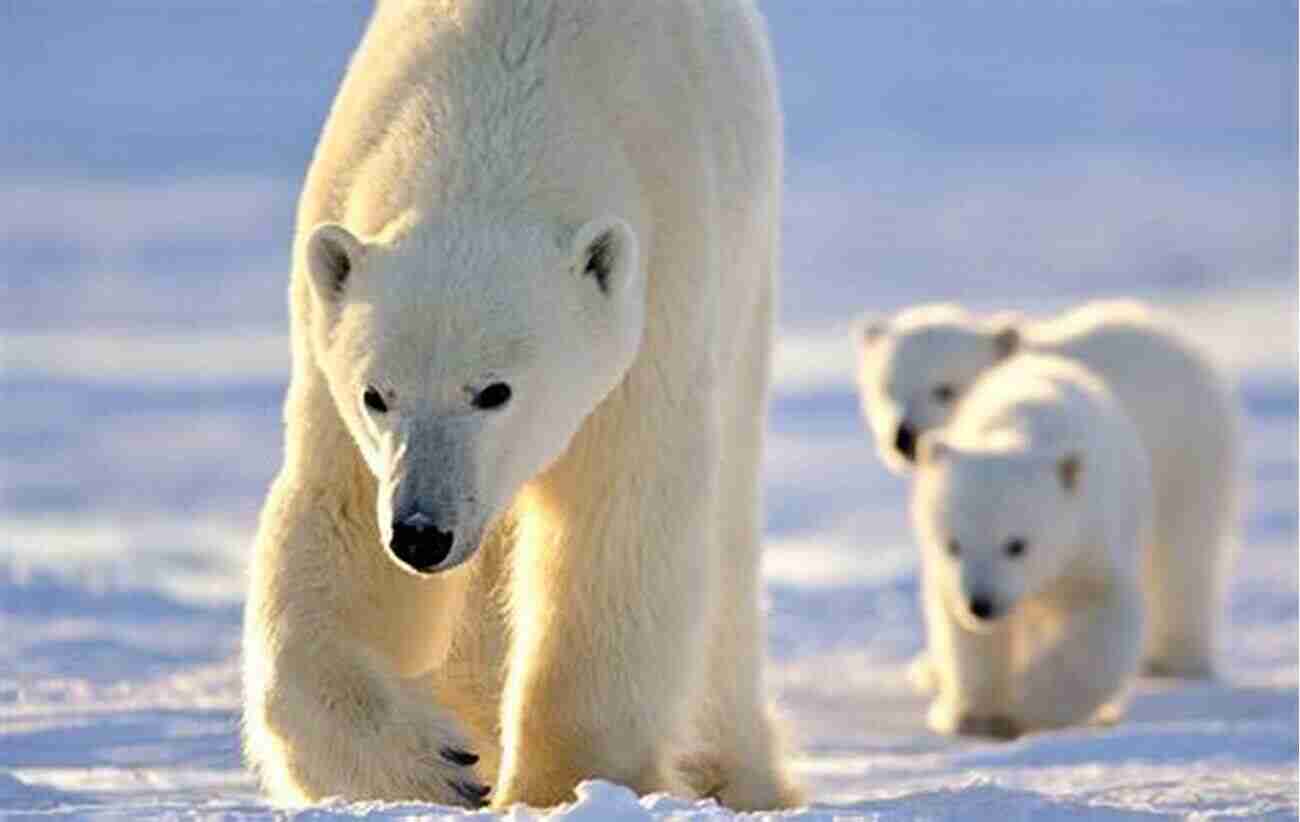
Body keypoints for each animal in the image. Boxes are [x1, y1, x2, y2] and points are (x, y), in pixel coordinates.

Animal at [239, 0, 795, 811]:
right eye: (377, 394)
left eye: (495, 390)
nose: (422, 533)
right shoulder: (330, 354)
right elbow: (335, 521)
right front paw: (436, 764)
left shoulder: (662, 295)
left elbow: (617, 528)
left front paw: (562, 786)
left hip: (744, 288)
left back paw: (738, 774)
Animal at [857, 299, 1242, 676]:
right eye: (887, 389)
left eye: (944, 389)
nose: (903, 436)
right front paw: (931, 670)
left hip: (1187, 458)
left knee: (1181, 554)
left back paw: (1175, 659)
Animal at [909, 353, 1154, 738]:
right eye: (953, 545)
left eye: (1016, 545)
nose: (981, 605)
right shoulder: (947, 579)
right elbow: (967, 639)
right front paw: (976, 716)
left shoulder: (1089, 544)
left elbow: (1100, 624)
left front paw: (1031, 702)